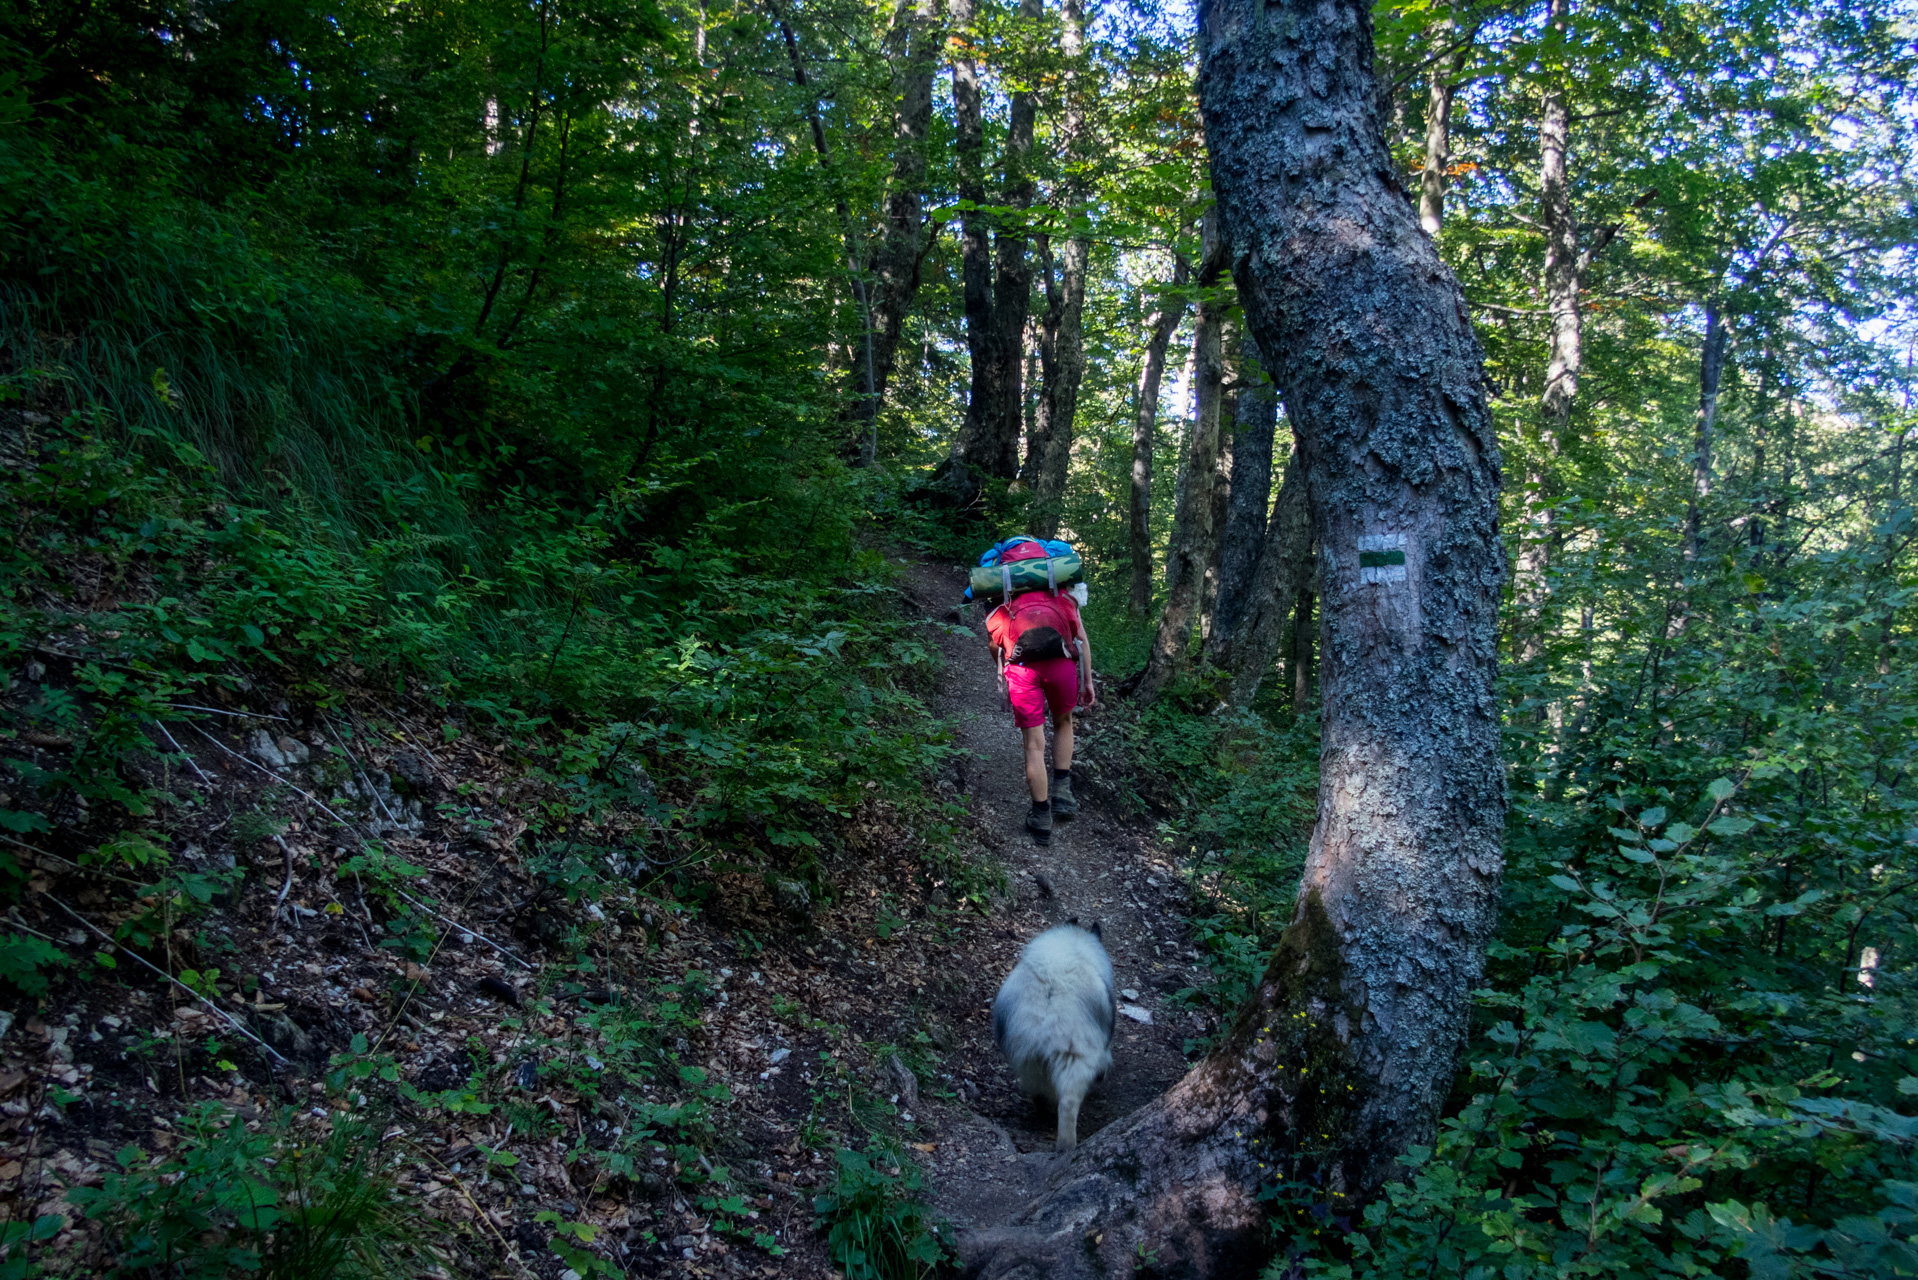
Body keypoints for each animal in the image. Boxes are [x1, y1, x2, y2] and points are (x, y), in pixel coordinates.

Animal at [997, 921, 1120, 1151]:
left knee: (1038, 1090)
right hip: (1073, 1056)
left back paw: (1044, 1113)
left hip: (1028, 1059)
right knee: (1068, 1104)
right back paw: (1067, 1145)